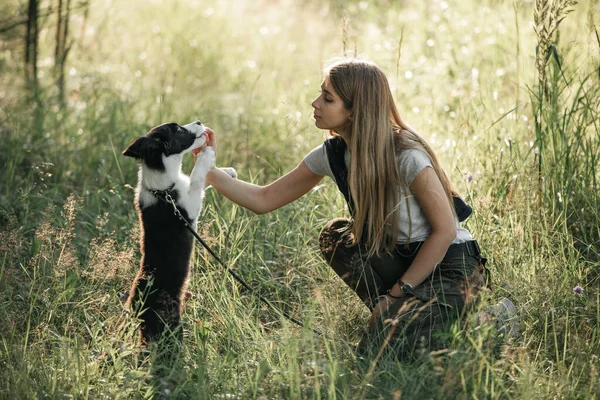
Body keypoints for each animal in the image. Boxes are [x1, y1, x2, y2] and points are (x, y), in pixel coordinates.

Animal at [121, 120, 232, 346]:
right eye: (178, 128)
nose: (199, 122)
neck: (162, 190)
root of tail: (138, 310)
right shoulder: (189, 207)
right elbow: (197, 179)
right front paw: (207, 155)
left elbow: (199, 180)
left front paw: (229, 172)